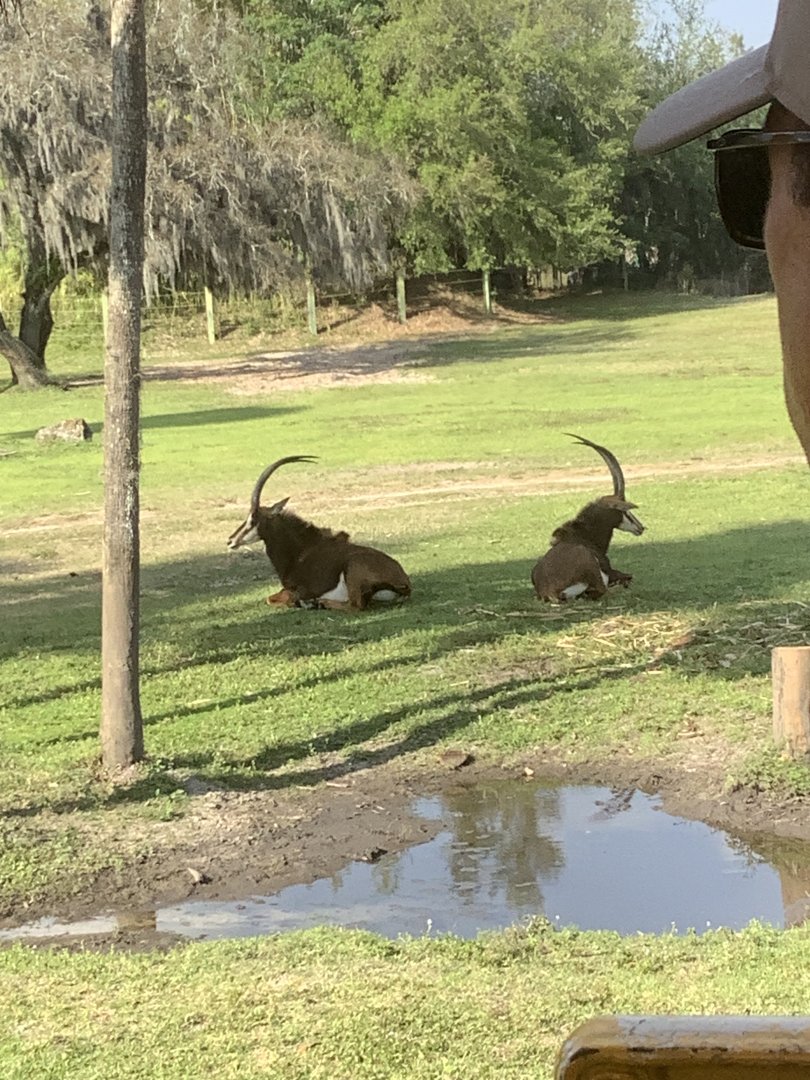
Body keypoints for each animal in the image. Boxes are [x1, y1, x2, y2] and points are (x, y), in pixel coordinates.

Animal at [227, 456, 412, 610]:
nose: (230, 541)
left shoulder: (302, 589)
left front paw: (302, 603)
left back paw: (319, 603)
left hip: (353, 568)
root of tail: (405, 583)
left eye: (253, 519)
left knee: (355, 606)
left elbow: (273, 599)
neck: (298, 553)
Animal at [532, 435, 644, 603]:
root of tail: (551, 592)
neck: (583, 535)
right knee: (602, 590)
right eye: (624, 510)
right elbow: (628, 577)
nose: (641, 527)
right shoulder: (610, 570)